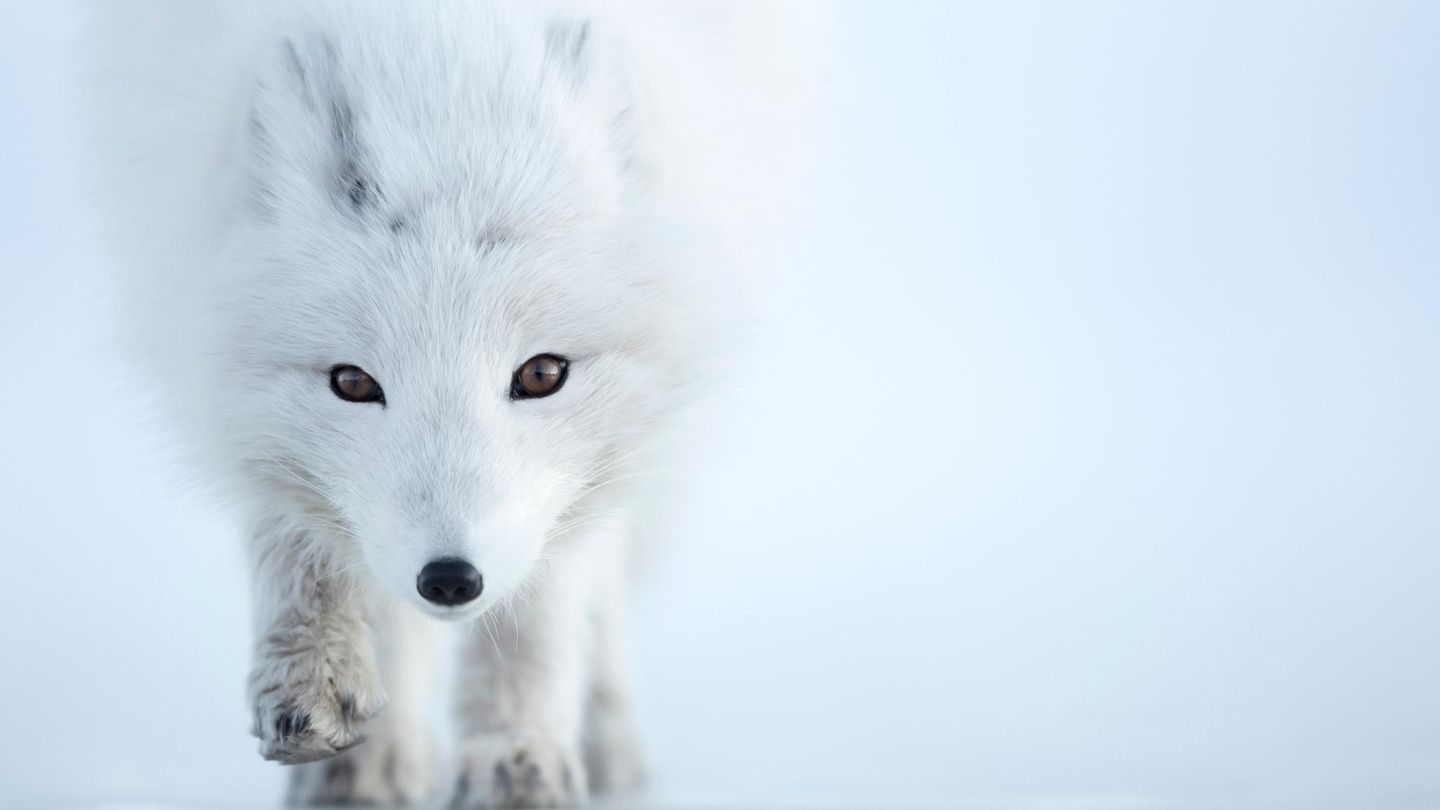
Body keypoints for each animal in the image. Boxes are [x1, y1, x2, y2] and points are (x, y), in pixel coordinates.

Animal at [82, 0, 824, 806]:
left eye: (542, 373)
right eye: (352, 382)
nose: (448, 578)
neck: (441, 39)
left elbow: (541, 604)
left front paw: (515, 754)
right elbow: (299, 541)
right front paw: (324, 700)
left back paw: (606, 743)